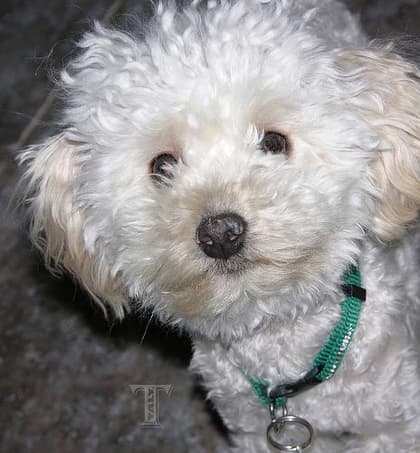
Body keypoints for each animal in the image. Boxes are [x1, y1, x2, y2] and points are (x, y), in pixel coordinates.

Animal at [19, 0, 420, 451]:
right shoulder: (255, 433)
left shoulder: (394, 426)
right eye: (163, 166)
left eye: (274, 142)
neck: (280, 344)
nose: (220, 234)